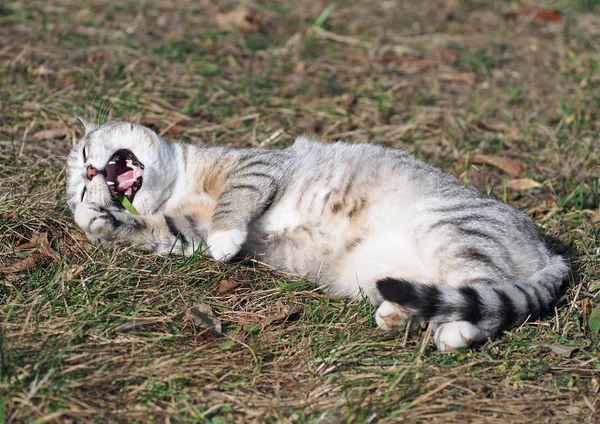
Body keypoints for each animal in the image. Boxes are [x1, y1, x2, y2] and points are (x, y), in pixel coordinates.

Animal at [65, 119, 568, 352]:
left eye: (87, 150)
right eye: (79, 185)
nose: (89, 172)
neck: (182, 185)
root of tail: (550, 252)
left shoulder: (256, 165)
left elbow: (235, 197)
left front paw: (226, 236)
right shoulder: (185, 230)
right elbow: (165, 232)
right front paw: (100, 221)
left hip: (453, 228)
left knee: (483, 294)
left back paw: (457, 331)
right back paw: (398, 313)